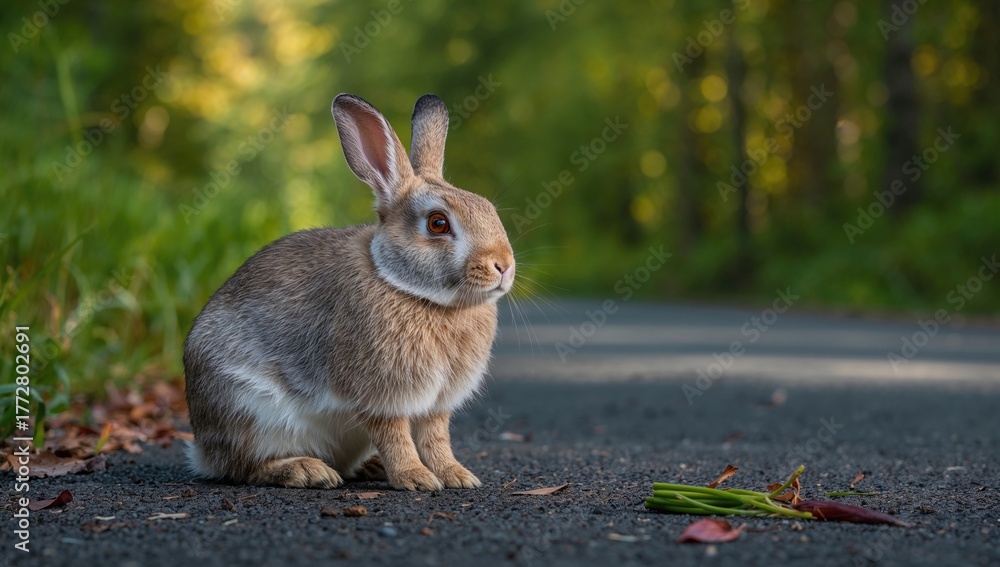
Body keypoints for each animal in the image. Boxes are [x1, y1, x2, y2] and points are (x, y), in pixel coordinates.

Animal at [183, 93, 515, 491]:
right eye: (438, 223)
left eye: (489, 209)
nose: (503, 265)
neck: (413, 291)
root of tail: (202, 451)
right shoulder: (381, 395)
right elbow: (395, 434)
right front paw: (416, 478)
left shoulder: (437, 404)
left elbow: (436, 438)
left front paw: (457, 476)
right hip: (248, 410)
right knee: (244, 466)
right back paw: (307, 470)